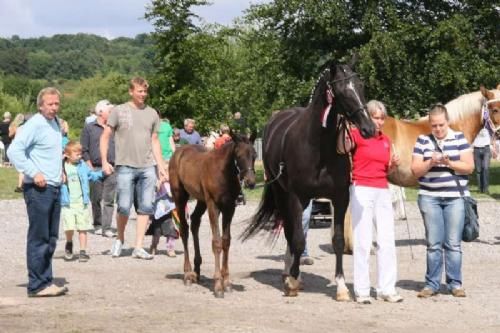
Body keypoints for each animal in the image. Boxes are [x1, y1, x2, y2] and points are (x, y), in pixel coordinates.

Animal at [168, 133, 256, 298]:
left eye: (255, 155)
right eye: (239, 156)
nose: (251, 182)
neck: (223, 173)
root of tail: (178, 151)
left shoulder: (229, 208)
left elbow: (226, 241)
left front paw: (227, 283)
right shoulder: (213, 206)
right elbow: (216, 242)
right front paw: (218, 286)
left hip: (201, 200)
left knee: (195, 222)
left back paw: (197, 271)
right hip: (180, 196)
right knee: (184, 229)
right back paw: (187, 274)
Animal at [241, 61, 376, 300]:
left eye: (360, 85)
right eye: (341, 90)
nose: (369, 128)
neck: (318, 147)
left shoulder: (340, 198)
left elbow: (338, 241)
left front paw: (341, 287)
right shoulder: (297, 197)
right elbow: (297, 239)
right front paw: (293, 281)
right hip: (282, 194)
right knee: (289, 232)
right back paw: (290, 274)